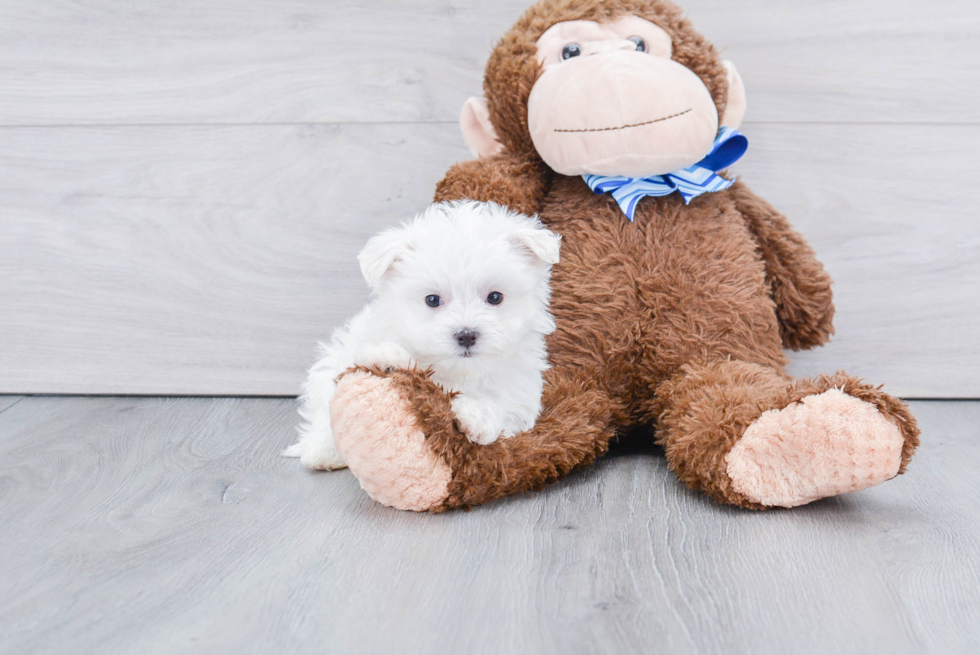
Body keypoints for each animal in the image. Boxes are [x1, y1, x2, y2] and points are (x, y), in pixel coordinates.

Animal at [284, 200, 560, 472]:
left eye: (495, 297)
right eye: (432, 300)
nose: (466, 335)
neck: (456, 371)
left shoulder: (518, 395)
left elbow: (502, 410)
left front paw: (474, 417)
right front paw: (387, 356)